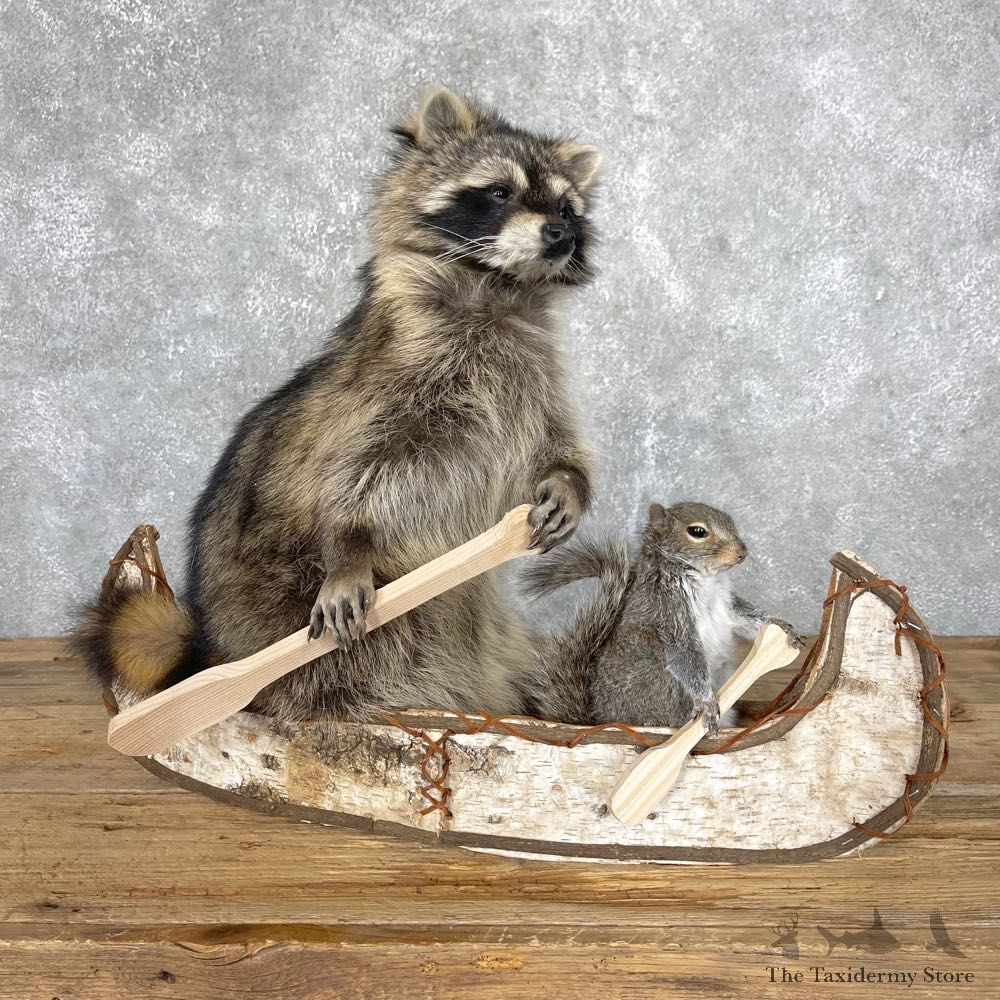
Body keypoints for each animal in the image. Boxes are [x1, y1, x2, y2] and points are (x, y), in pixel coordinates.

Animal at [71, 87, 603, 721]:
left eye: (567, 209)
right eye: (501, 191)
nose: (559, 234)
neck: (496, 288)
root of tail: (216, 642)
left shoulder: (535, 377)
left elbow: (550, 439)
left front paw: (568, 480)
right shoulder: (395, 373)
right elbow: (353, 471)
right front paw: (350, 542)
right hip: (287, 599)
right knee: (368, 660)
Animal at [521, 501, 806, 732]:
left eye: (730, 520)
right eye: (697, 532)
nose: (742, 552)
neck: (703, 577)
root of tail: (601, 719)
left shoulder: (724, 604)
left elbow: (744, 615)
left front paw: (779, 625)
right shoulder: (669, 613)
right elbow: (686, 655)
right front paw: (706, 701)